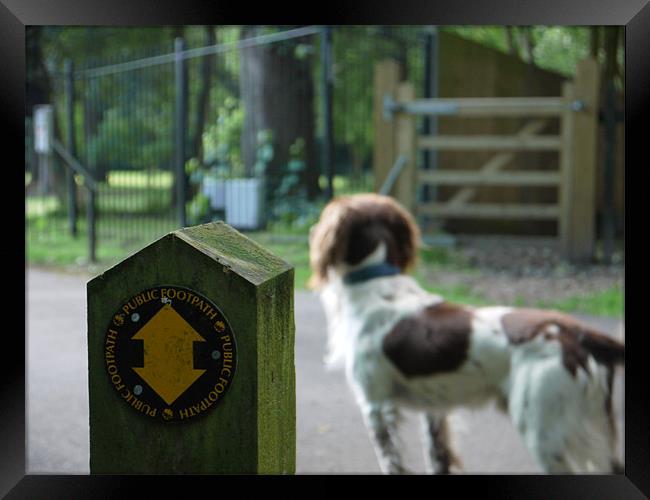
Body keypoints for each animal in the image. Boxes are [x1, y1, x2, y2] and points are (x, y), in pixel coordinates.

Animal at [308, 193, 624, 474]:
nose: (312, 228)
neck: (374, 280)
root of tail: (576, 332)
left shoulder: (376, 405)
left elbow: (391, 463)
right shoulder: (433, 412)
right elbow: (437, 459)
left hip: (543, 430)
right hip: (595, 425)